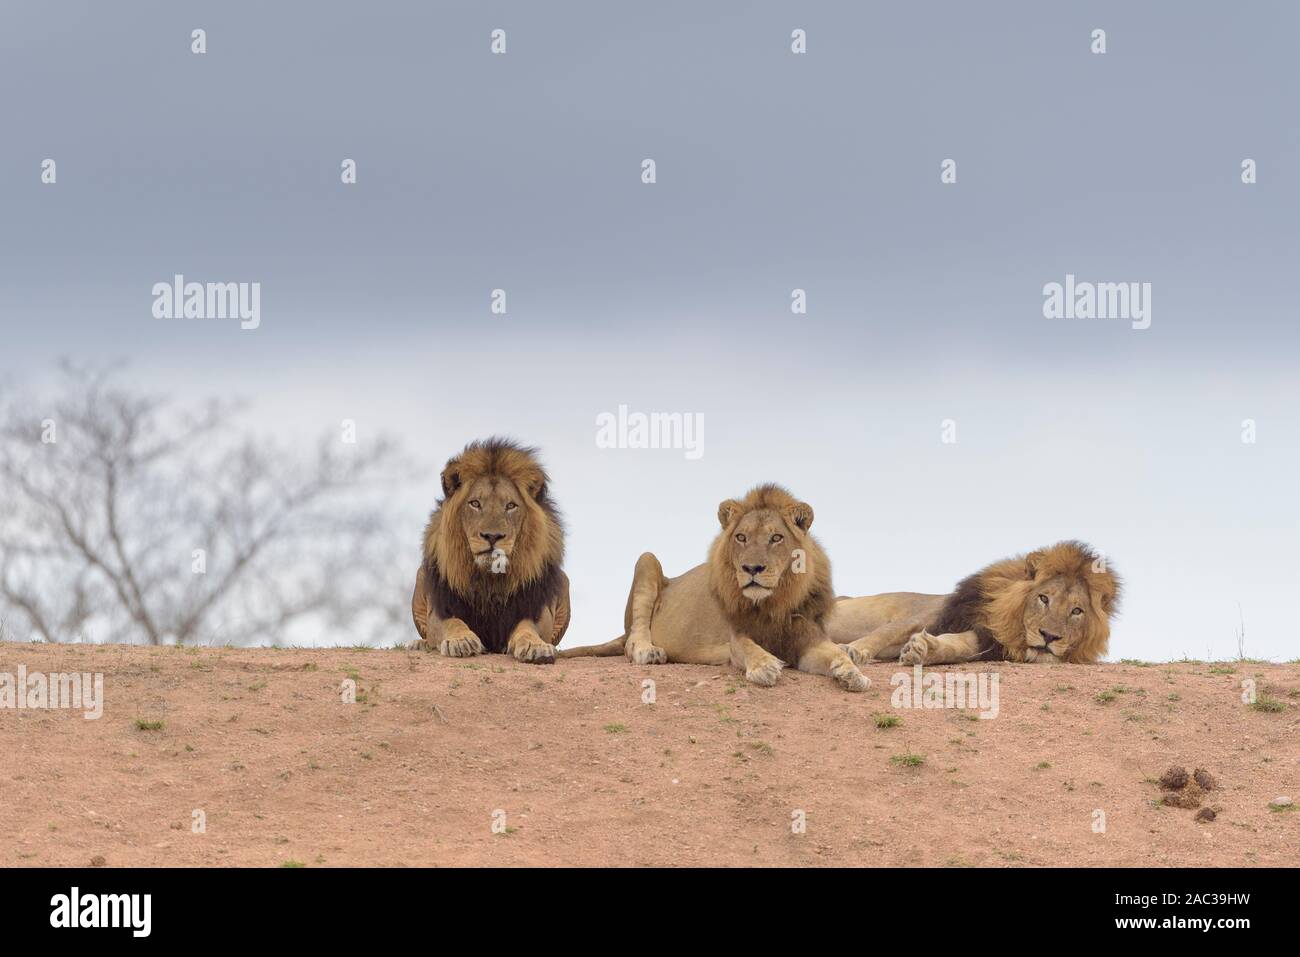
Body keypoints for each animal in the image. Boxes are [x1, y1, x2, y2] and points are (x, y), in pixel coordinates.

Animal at [405, 436, 569, 660]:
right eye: (475, 503)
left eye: (510, 506)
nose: (492, 536)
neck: (490, 578)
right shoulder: (441, 609)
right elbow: (453, 623)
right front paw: (462, 641)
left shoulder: (536, 609)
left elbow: (527, 627)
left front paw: (534, 645)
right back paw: (418, 644)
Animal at [553, 481, 868, 691]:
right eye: (741, 537)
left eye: (776, 538)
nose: (751, 569)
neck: (774, 602)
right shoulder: (735, 637)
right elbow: (749, 648)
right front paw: (765, 666)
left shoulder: (807, 638)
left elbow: (835, 653)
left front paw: (852, 673)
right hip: (647, 561)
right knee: (634, 638)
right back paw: (648, 651)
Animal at [826, 538, 1123, 665]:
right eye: (1043, 598)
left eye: (1077, 611)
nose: (1049, 636)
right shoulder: (931, 615)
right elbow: (885, 632)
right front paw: (854, 650)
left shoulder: (985, 638)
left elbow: (956, 648)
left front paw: (924, 650)